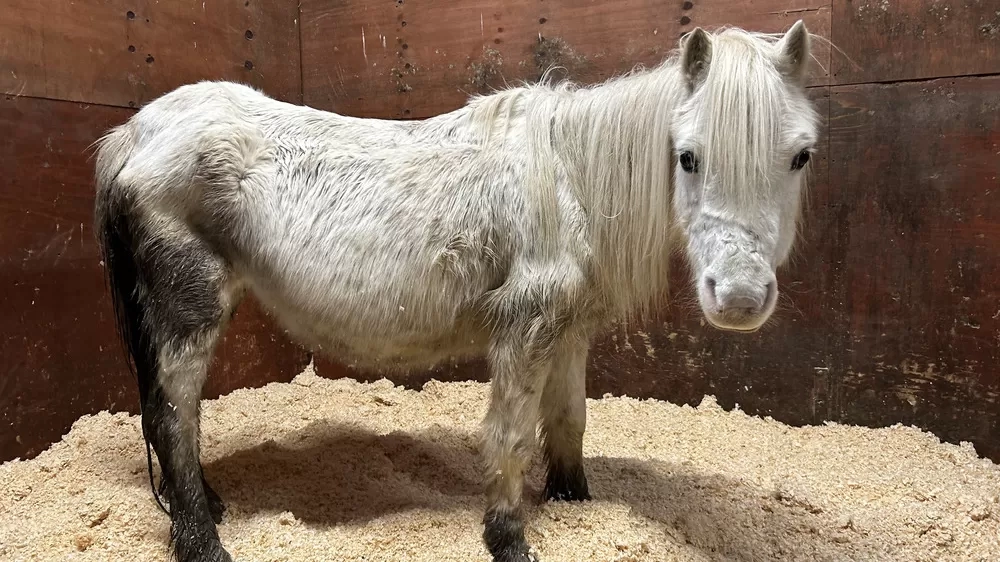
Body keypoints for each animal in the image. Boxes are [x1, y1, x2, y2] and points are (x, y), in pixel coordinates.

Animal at [92, 20, 820, 562]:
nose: (740, 298)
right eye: (688, 156)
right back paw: (202, 541)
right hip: (189, 306)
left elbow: (568, 422)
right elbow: (510, 435)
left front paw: (575, 501)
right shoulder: (526, 327)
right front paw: (507, 539)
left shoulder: (569, 332)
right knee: (173, 416)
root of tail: (136, 131)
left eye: (800, 155)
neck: (571, 177)